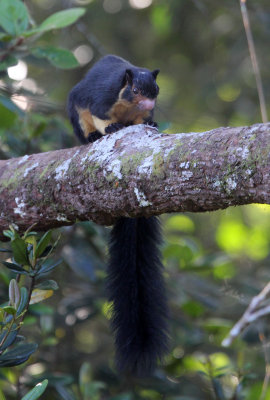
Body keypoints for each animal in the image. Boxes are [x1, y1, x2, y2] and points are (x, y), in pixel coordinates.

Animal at [67, 54, 169, 374]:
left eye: (156, 91)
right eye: (134, 90)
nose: (149, 106)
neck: (127, 106)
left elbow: (139, 122)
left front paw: (150, 120)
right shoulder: (100, 100)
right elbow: (100, 115)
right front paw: (110, 128)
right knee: (86, 127)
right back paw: (91, 137)